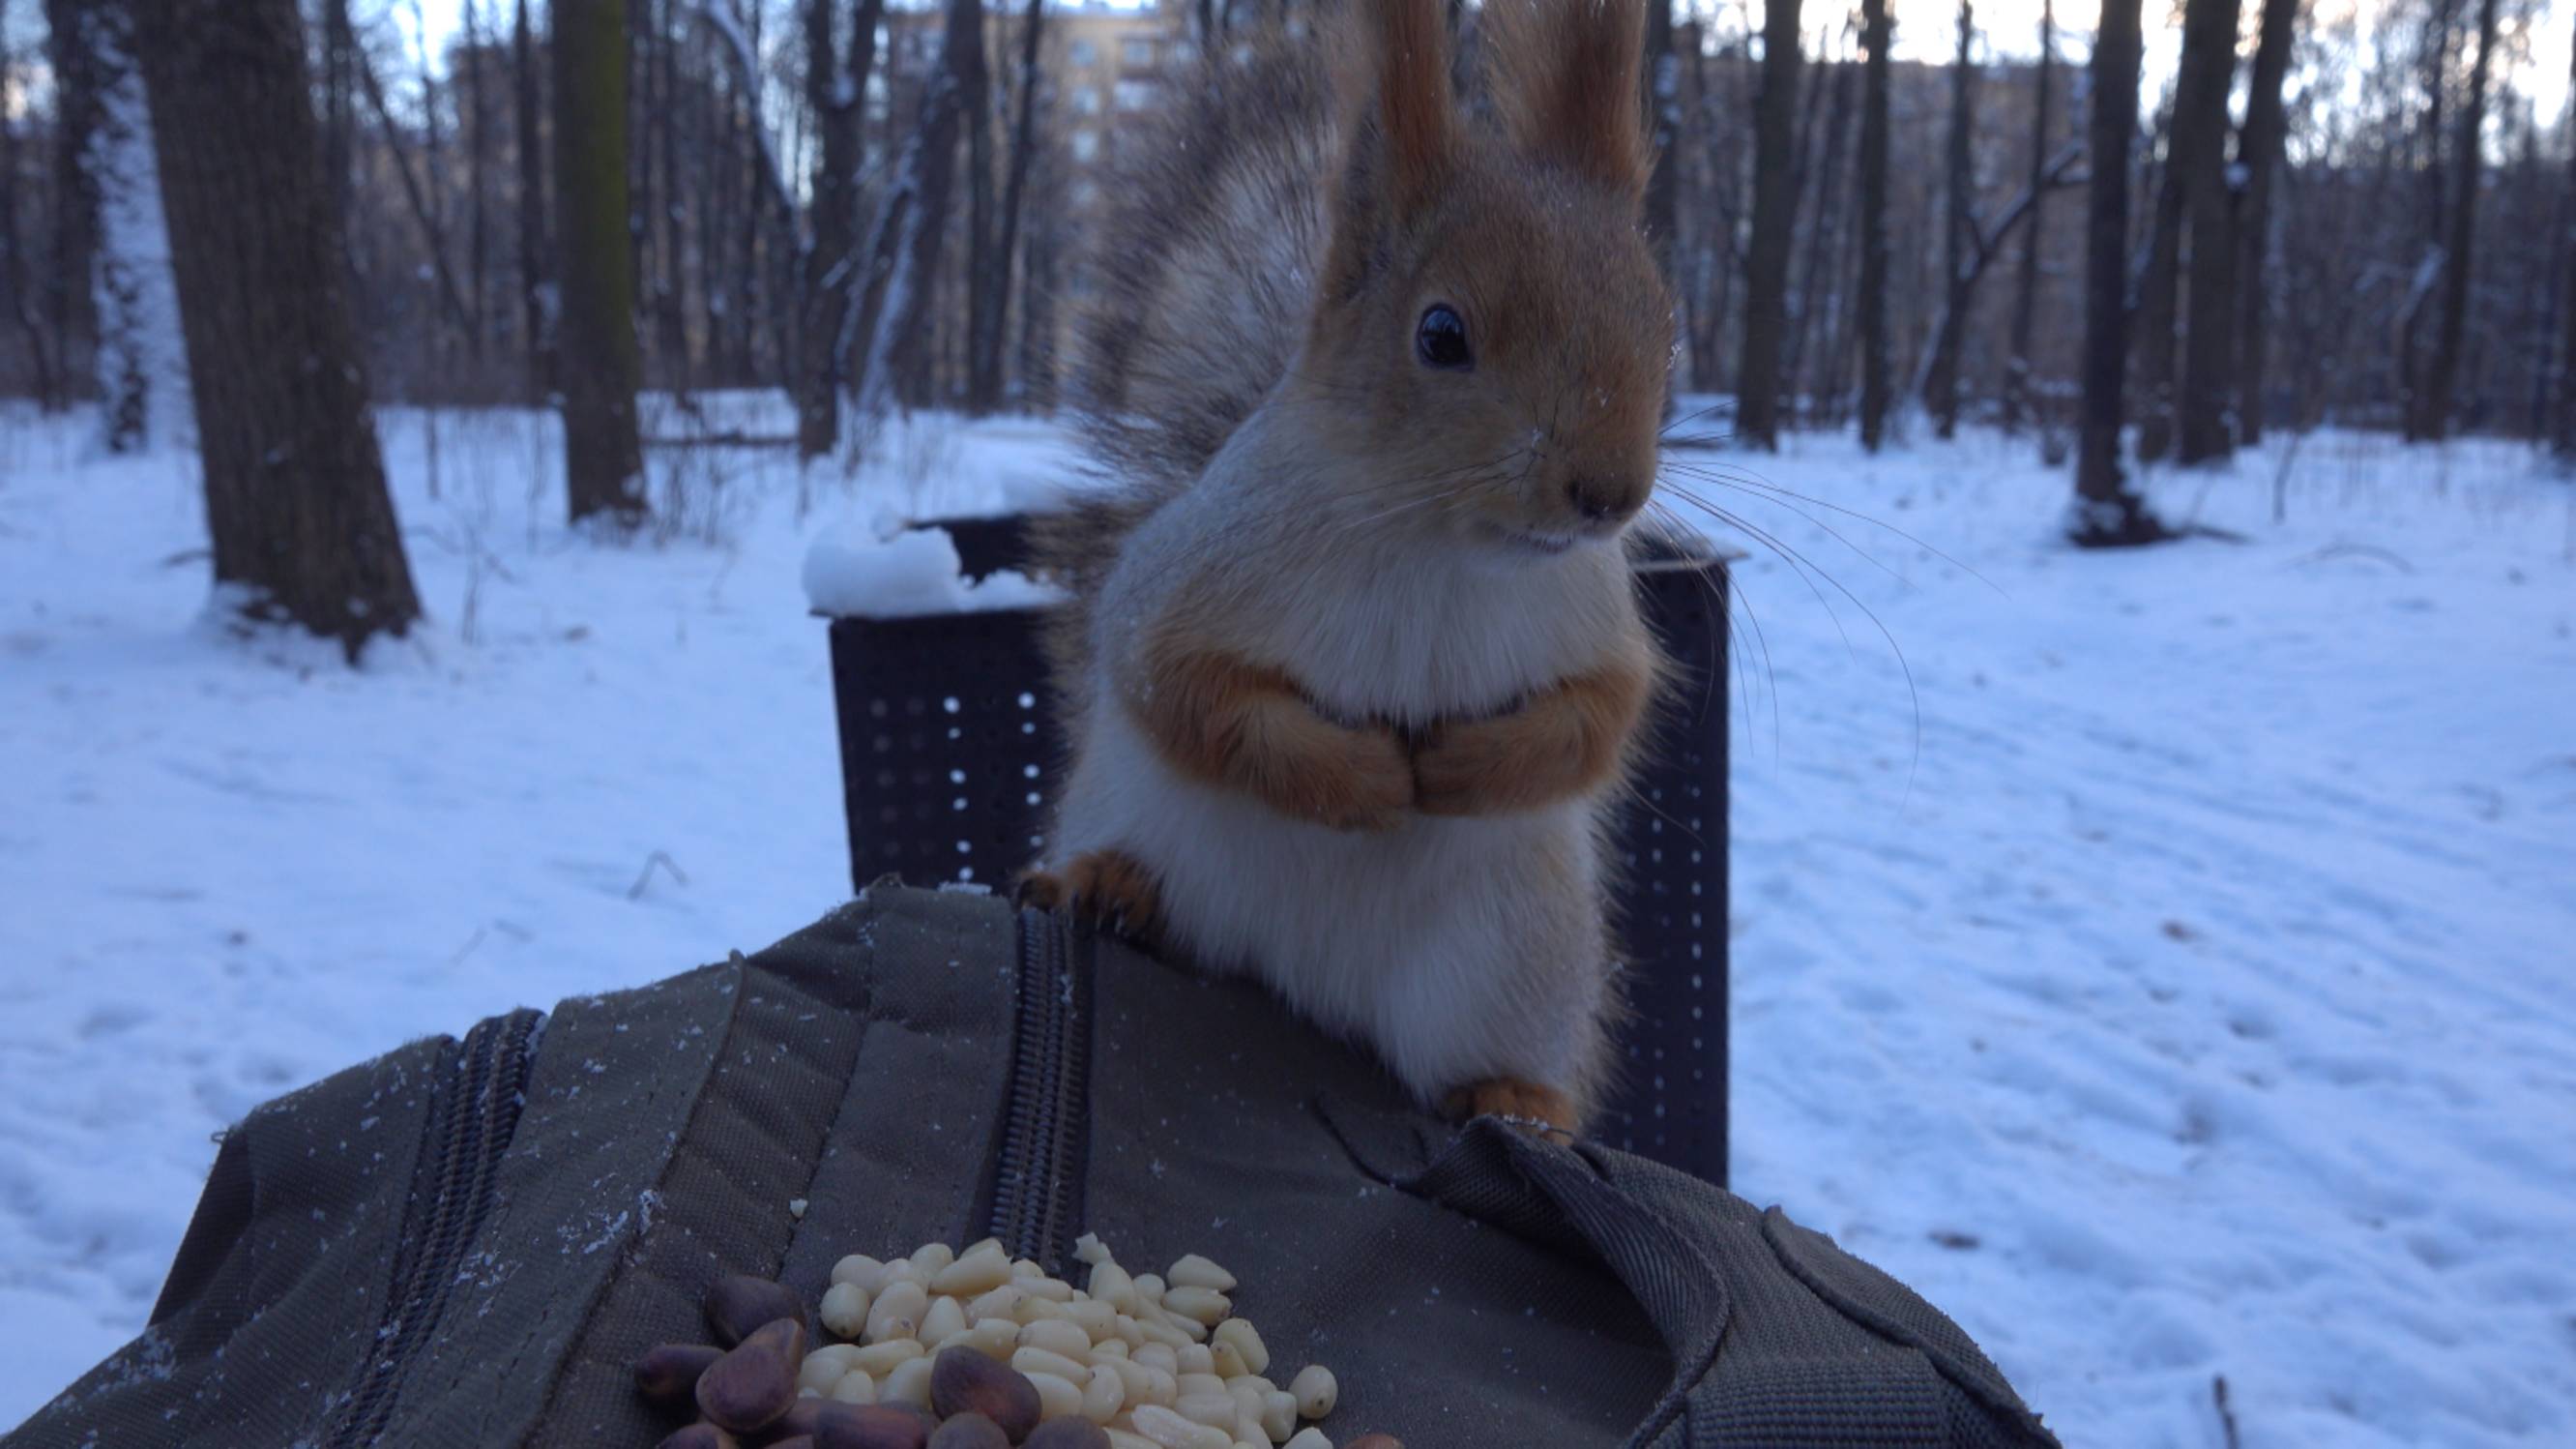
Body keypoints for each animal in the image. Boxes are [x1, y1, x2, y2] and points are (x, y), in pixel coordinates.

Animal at [1014, 0, 1679, 1134]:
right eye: (1442, 333)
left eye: (1663, 321)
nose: (1610, 493)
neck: (1435, 548)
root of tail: (1307, 986)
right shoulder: (1185, 584)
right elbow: (1183, 690)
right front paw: (1361, 778)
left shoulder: (1593, 617)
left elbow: (1600, 716)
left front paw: (1466, 768)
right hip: (1146, 825)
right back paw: (1106, 883)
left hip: (1510, 964)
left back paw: (1518, 1098)